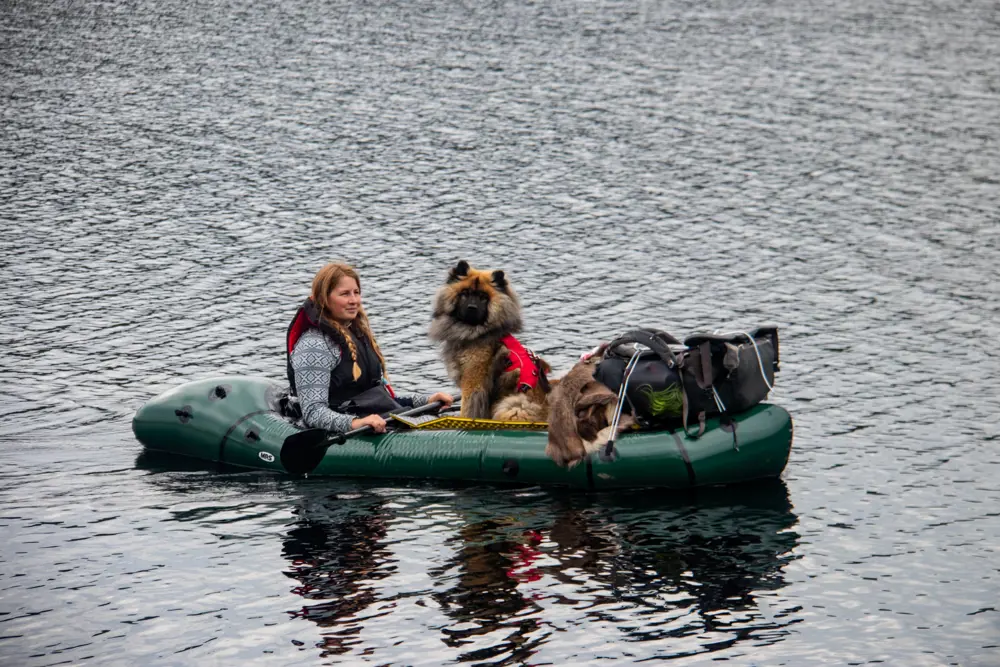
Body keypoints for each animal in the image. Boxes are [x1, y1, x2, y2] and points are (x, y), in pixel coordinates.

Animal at [430, 260, 556, 420]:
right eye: (465, 294)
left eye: (483, 297)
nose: (472, 307)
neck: (477, 333)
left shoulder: (473, 379)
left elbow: (467, 408)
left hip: (514, 406)